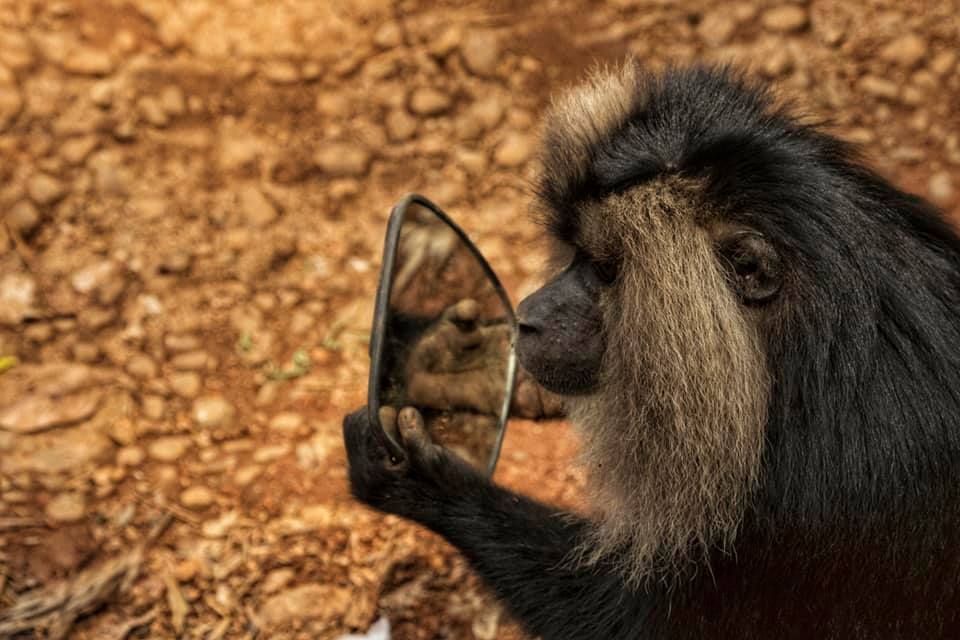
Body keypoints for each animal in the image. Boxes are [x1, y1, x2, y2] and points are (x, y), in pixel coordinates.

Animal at [342, 61, 960, 640]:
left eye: (605, 271)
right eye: (577, 257)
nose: (527, 317)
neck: (816, 358)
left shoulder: (809, 504)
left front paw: (426, 480)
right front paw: (459, 366)